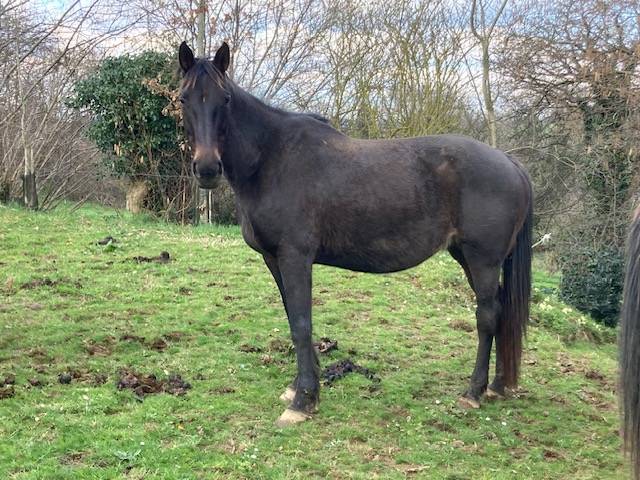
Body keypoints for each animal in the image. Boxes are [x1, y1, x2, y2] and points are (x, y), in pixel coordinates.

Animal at [178, 42, 532, 428]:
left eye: (225, 99)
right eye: (184, 98)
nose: (207, 168)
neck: (271, 159)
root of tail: (510, 163)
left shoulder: (295, 257)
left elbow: (301, 323)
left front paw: (303, 401)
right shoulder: (274, 259)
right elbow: (292, 317)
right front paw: (301, 387)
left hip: (483, 261)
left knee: (487, 316)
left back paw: (474, 392)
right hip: (467, 257)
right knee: (500, 311)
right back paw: (497, 385)